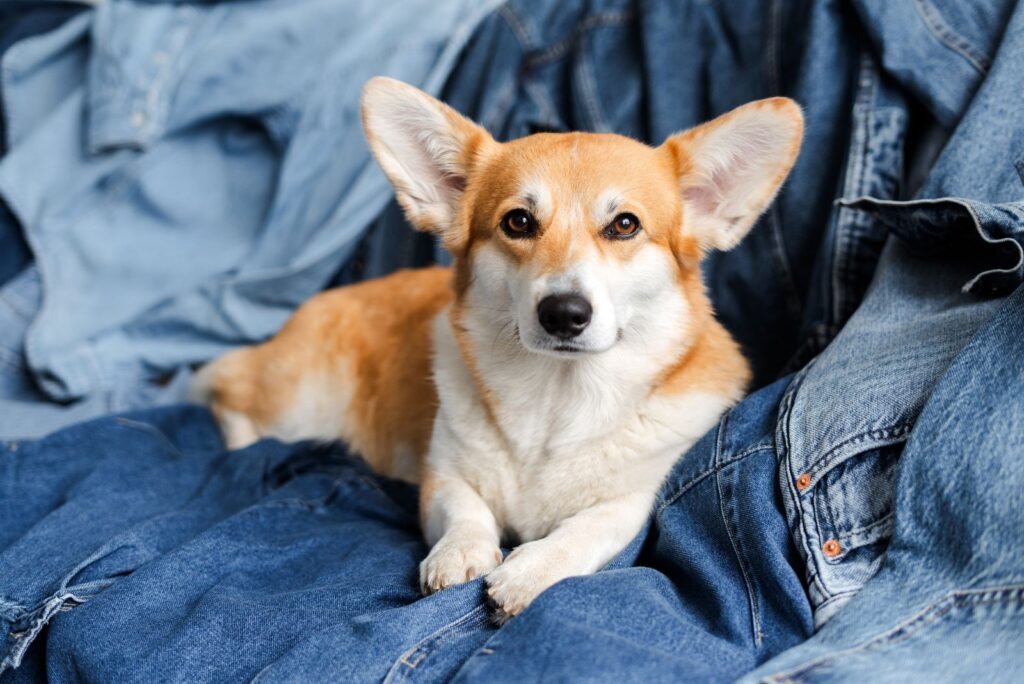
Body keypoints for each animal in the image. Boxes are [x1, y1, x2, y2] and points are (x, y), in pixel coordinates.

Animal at [190, 77, 798, 622]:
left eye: (625, 225)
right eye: (518, 221)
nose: (563, 313)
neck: (557, 398)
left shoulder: (634, 500)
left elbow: (590, 526)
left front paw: (531, 570)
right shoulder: (442, 476)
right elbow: (465, 510)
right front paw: (460, 553)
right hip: (300, 404)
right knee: (226, 391)